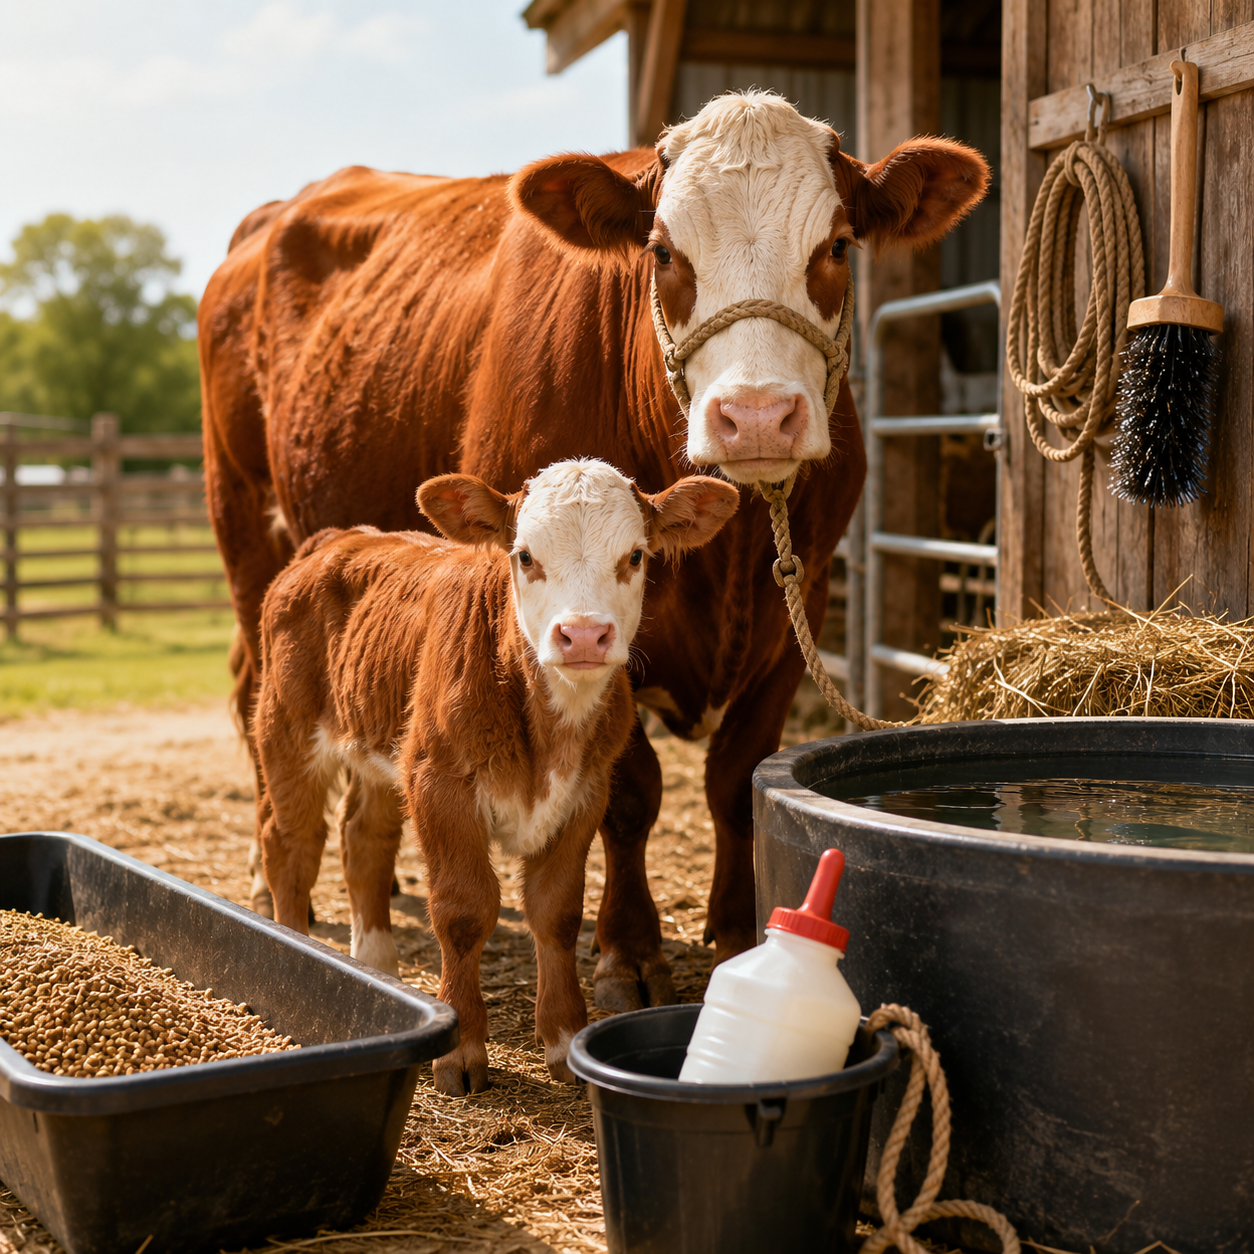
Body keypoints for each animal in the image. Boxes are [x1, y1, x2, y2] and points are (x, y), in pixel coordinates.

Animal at [199, 90, 989, 1015]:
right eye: (663, 251)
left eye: (835, 246)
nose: (757, 416)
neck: (726, 560)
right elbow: (631, 791)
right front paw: (628, 952)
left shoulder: (804, 602)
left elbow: (738, 778)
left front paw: (733, 931)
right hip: (245, 524)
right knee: (256, 694)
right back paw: (268, 877)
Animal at [255, 460, 738, 1093]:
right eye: (525, 556)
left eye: (635, 556)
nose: (584, 634)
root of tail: (339, 539)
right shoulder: (439, 784)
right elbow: (463, 911)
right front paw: (461, 1050)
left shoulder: (585, 794)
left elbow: (557, 913)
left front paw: (562, 1037)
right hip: (288, 728)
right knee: (291, 845)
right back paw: (295, 945)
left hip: (384, 748)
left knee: (363, 840)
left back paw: (375, 966)